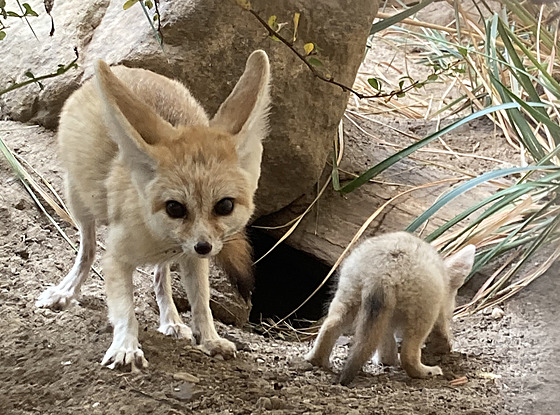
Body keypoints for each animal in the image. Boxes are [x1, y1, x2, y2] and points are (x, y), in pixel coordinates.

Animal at [35, 50, 272, 372]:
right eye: (174, 207)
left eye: (224, 205)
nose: (203, 246)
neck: (161, 240)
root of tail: (126, 68)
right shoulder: (116, 259)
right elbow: (125, 309)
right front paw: (125, 346)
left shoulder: (193, 259)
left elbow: (201, 302)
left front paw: (210, 338)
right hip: (78, 202)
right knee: (87, 250)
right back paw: (66, 290)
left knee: (161, 277)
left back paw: (171, 319)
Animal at [304, 232, 474, 386]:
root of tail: (383, 270)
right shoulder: (436, 312)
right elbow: (442, 333)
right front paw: (444, 346)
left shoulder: (385, 318)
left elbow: (385, 343)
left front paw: (386, 360)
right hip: (423, 315)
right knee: (408, 356)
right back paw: (427, 372)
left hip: (347, 299)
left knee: (329, 327)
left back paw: (317, 361)